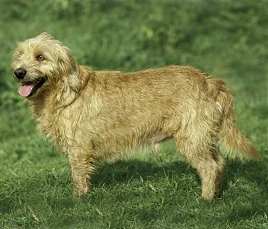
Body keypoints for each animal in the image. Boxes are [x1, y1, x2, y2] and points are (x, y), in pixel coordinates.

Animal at [11, 32, 260, 200]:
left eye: (40, 57)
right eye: (19, 56)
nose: (18, 72)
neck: (65, 92)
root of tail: (208, 80)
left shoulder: (78, 149)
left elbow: (78, 177)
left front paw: (77, 200)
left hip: (192, 139)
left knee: (210, 167)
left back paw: (205, 200)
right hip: (204, 137)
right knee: (219, 163)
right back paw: (216, 194)